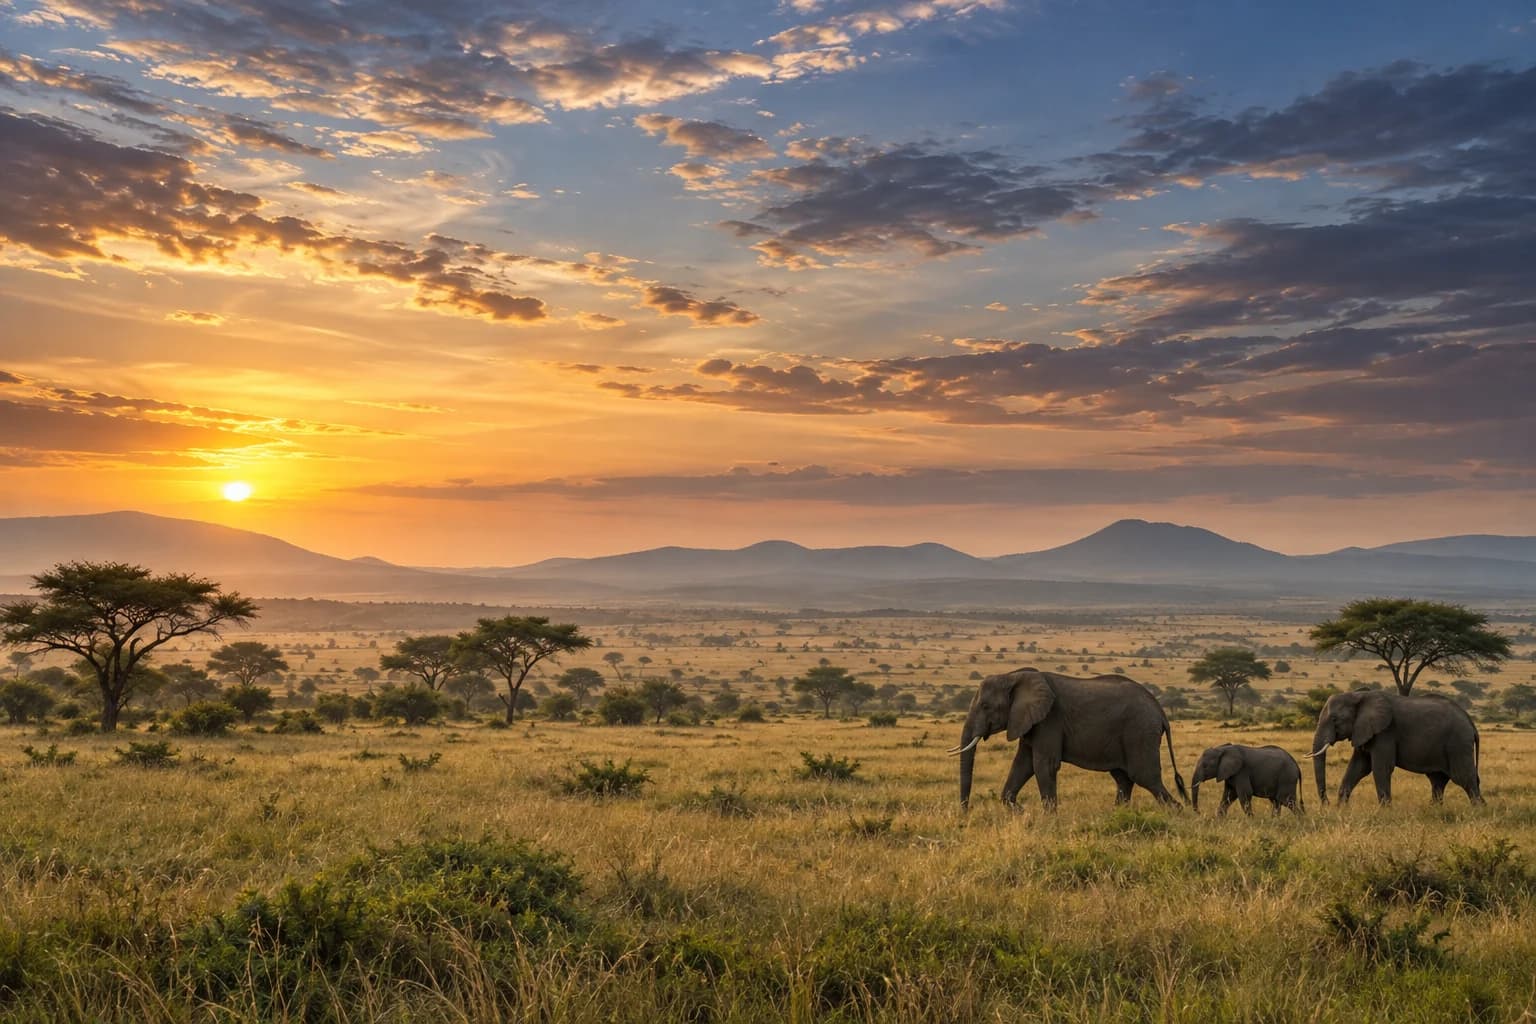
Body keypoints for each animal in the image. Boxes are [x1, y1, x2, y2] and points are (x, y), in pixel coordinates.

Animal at [950, 667, 1187, 810]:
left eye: (985, 706)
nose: (965, 811)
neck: (1013, 676)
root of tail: (1160, 711)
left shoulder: (1050, 720)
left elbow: (1043, 765)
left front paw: (1048, 821)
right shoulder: (1029, 722)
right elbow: (1022, 765)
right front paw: (1019, 811)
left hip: (1140, 731)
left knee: (1145, 777)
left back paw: (1178, 813)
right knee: (1124, 778)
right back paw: (1118, 815)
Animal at [1309, 689, 1482, 806]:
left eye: (1334, 719)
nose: (1326, 804)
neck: (1359, 695)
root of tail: (1471, 723)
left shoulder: (1385, 732)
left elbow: (1380, 768)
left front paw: (1385, 811)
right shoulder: (1363, 730)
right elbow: (1357, 768)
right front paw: (1341, 810)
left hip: (1458, 743)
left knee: (1464, 778)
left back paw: (1479, 810)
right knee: (1438, 780)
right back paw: (1435, 809)